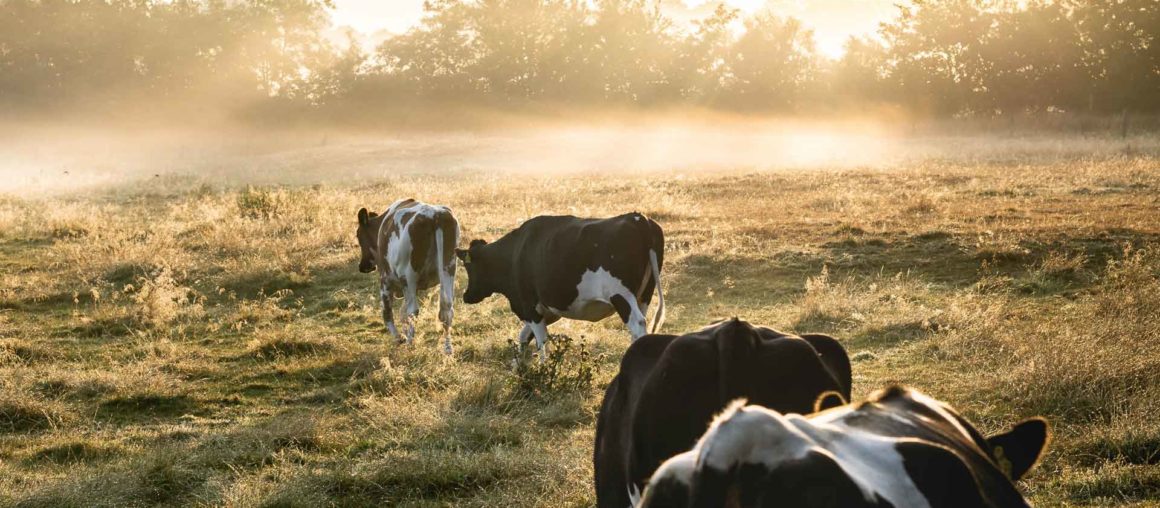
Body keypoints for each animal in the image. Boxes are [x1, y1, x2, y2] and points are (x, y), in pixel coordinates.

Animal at [354, 198, 459, 352]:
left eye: (358, 235)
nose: (363, 266)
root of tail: (434, 215)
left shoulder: (385, 280)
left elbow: (387, 313)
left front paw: (399, 338)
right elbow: (402, 313)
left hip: (408, 276)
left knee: (413, 310)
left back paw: (410, 342)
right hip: (448, 269)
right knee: (446, 309)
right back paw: (448, 348)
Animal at [457, 213, 668, 357]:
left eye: (468, 266)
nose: (466, 296)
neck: (515, 253)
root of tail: (638, 218)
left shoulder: (530, 306)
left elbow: (541, 341)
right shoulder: (548, 311)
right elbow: (524, 336)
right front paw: (520, 369)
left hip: (621, 295)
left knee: (638, 324)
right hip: (644, 295)